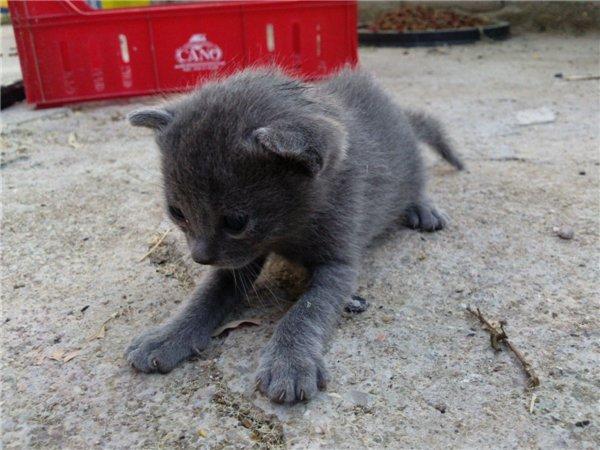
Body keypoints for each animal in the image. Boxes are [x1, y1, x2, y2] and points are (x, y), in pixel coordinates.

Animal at [125, 67, 464, 404]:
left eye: (236, 222)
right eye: (177, 212)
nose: (200, 257)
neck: (287, 230)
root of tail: (400, 113)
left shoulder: (339, 261)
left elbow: (309, 308)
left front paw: (289, 362)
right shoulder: (239, 258)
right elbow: (208, 293)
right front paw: (168, 336)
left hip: (408, 167)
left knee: (417, 181)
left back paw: (423, 209)